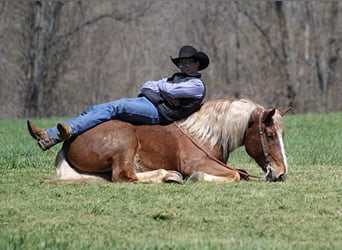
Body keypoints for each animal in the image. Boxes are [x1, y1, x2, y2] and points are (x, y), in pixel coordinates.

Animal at [50, 98, 292, 184]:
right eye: (270, 135)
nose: (281, 173)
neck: (204, 133)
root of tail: (69, 139)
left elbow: (240, 172)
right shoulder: (198, 163)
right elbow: (234, 175)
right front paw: (196, 177)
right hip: (125, 144)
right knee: (123, 176)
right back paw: (167, 175)